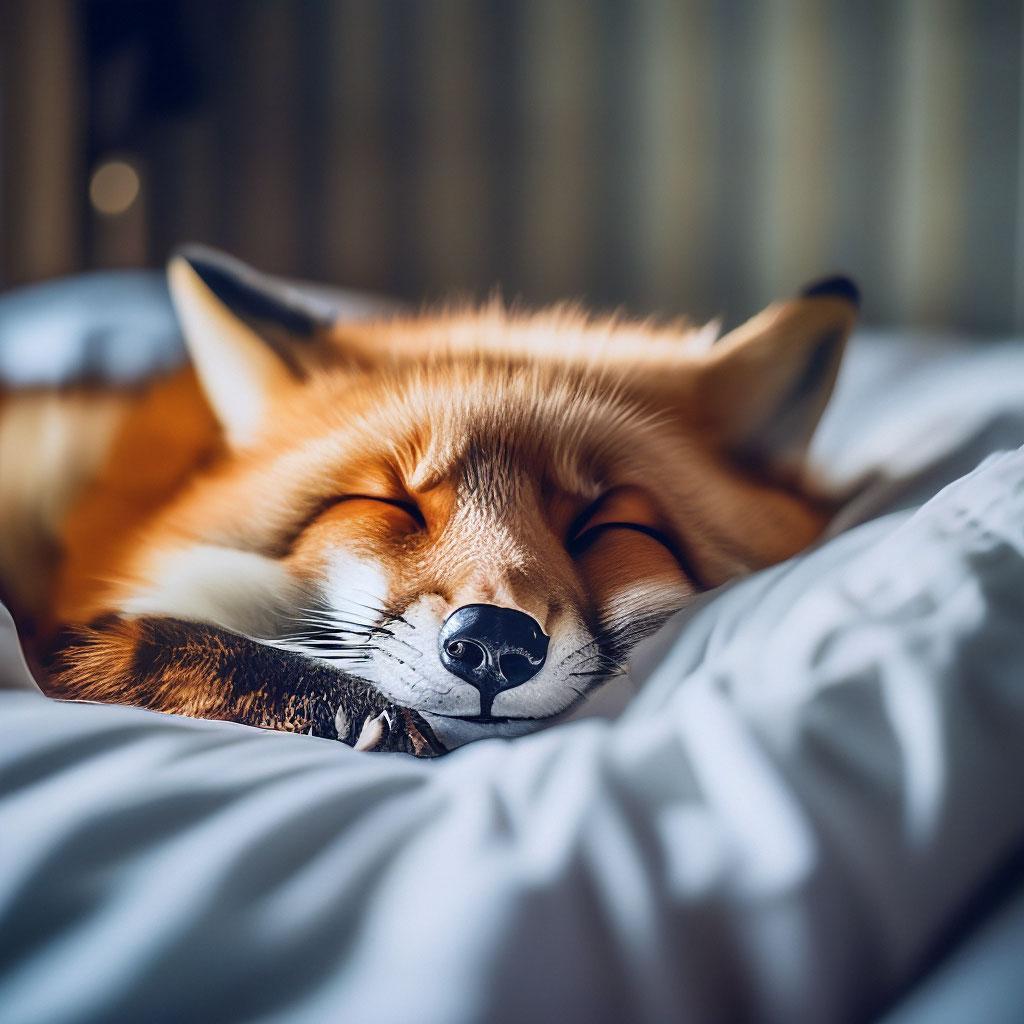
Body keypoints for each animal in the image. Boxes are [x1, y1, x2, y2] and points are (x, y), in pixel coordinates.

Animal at [0, 247, 859, 755]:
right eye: (390, 506)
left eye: (605, 523)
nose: (494, 645)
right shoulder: (63, 636)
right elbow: (165, 640)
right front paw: (337, 702)